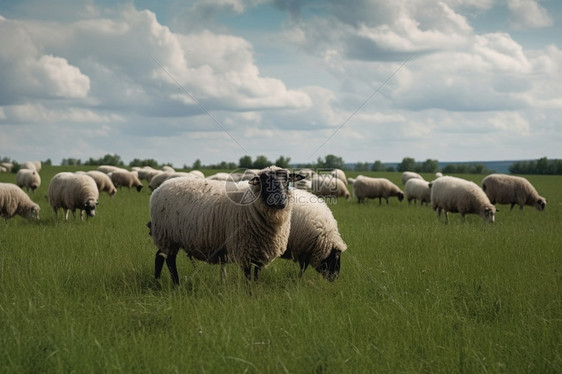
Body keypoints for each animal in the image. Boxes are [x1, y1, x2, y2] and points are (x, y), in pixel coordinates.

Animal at [145, 167, 302, 284]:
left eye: (288, 181)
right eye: (265, 181)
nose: (281, 202)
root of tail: (159, 189)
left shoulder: (260, 250)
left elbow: (256, 274)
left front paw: (255, 291)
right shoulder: (245, 247)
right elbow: (247, 275)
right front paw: (249, 295)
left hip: (167, 236)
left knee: (160, 256)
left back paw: (158, 281)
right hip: (166, 234)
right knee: (169, 260)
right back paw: (175, 283)